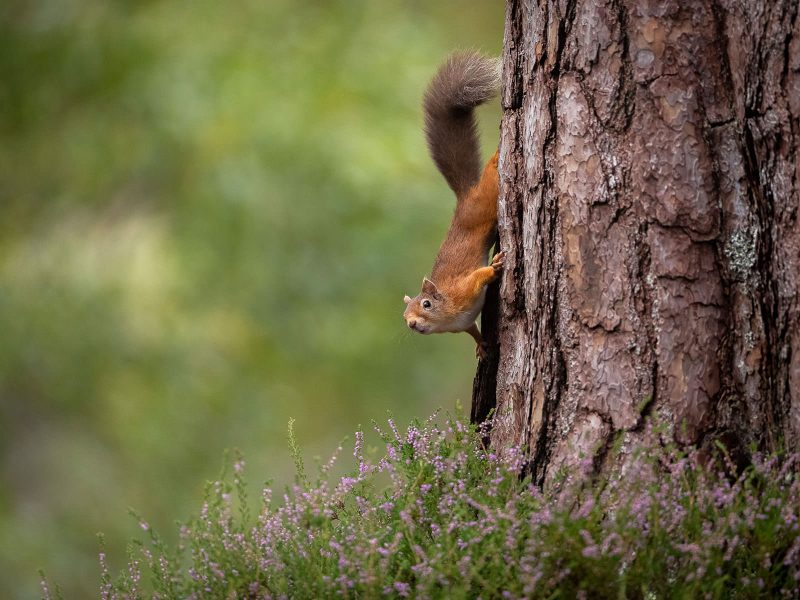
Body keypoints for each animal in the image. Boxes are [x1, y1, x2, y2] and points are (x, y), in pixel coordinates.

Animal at [404, 51, 504, 358]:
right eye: (404, 315)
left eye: (426, 304)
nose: (412, 324)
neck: (447, 315)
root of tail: (465, 196)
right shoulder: (463, 324)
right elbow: (472, 330)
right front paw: (481, 346)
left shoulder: (464, 290)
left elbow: (478, 276)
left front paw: (494, 267)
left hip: (484, 201)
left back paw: (497, 157)